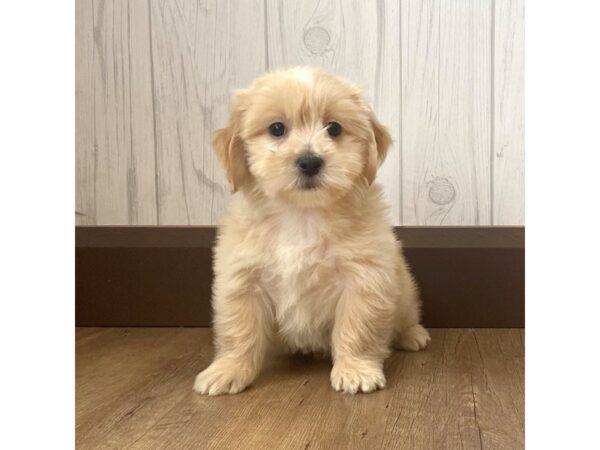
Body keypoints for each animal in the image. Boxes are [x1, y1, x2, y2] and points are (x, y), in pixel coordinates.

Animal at [195, 65, 428, 396]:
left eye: (334, 128)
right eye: (276, 128)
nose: (309, 161)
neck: (302, 215)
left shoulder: (363, 278)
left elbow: (357, 327)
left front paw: (355, 369)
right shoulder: (242, 280)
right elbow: (239, 330)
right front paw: (229, 369)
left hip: (404, 290)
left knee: (406, 314)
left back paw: (412, 334)